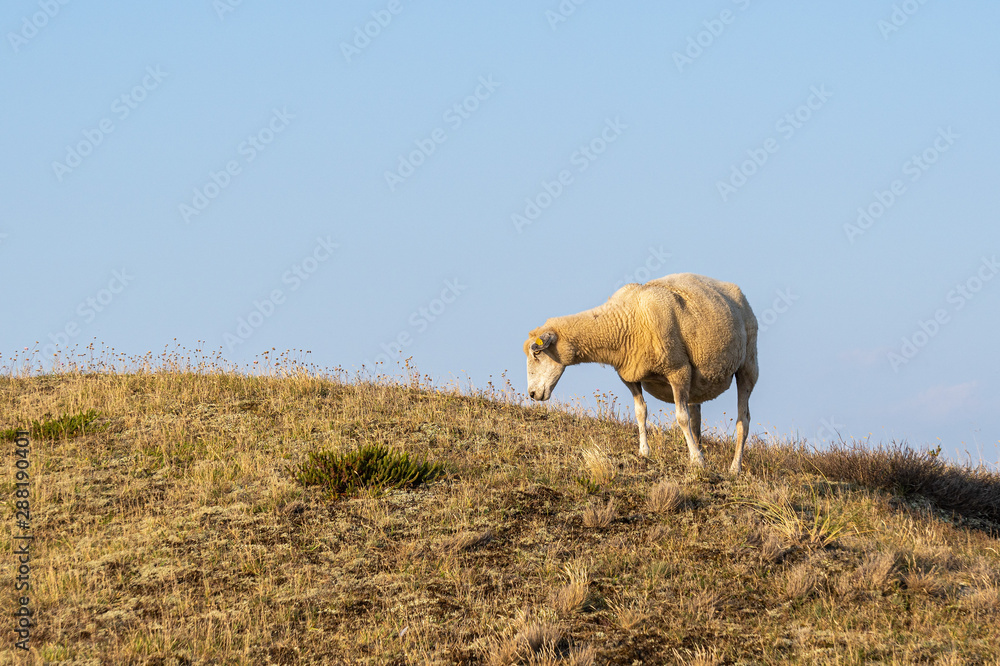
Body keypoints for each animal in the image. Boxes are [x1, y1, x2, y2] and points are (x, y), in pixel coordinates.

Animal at [523, 273, 758, 475]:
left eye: (537, 354)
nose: (532, 394)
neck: (625, 320)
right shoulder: (630, 375)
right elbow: (641, 412)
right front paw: (644, 452)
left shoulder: (678, 370)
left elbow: (681, 418)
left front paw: (697, 461)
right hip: (697, 380)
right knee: (696, 419)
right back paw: (699, 448)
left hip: (748, 365)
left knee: (743, 420)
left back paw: (734, 467)